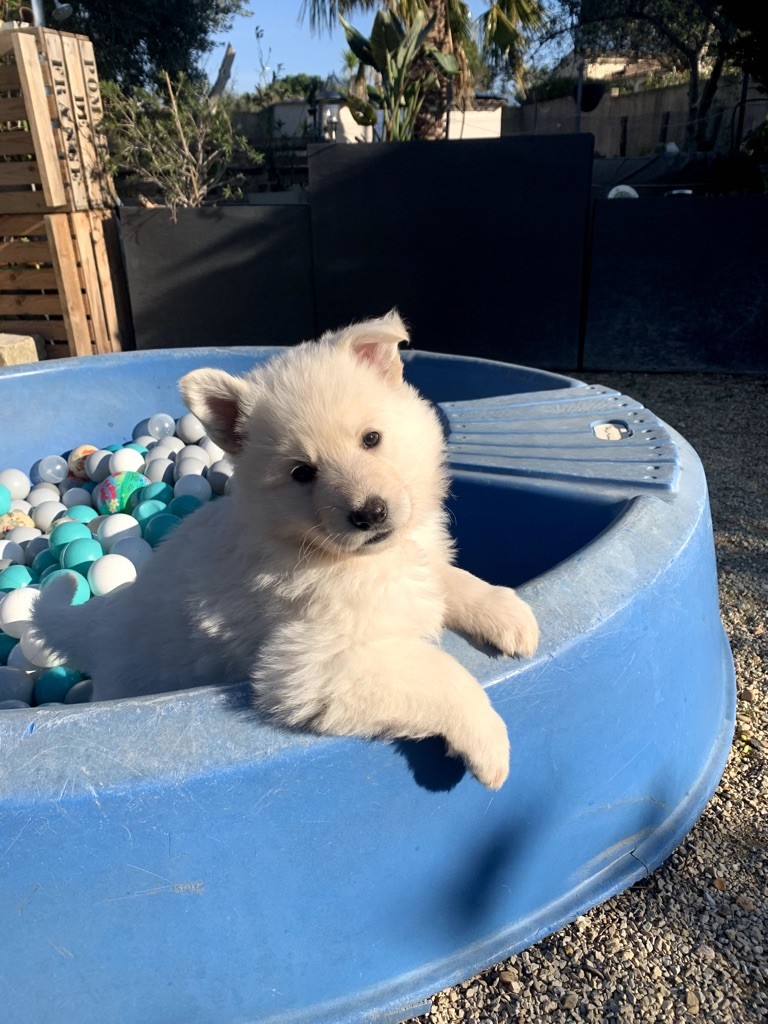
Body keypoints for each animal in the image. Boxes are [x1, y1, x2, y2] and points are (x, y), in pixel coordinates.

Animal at [34, 312, 539, 789]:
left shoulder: (418, 568)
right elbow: (438, 672)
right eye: (302, 473)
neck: (331, 552)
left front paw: (510, 615)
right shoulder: (314, 666)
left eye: (371, 439)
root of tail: (104, 620)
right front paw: (490, 743)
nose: (370, 514)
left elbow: (453, 579)